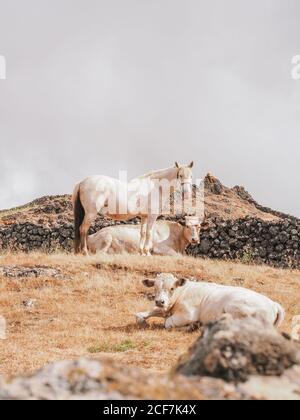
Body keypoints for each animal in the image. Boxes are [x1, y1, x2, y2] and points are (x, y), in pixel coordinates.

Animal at [137, 274, 286, 330]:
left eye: (172, 288)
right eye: (155, 287)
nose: (160, 301)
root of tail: (273, 304)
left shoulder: (187, 314)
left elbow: (167, 323)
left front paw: (191, 326)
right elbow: (142, 315)